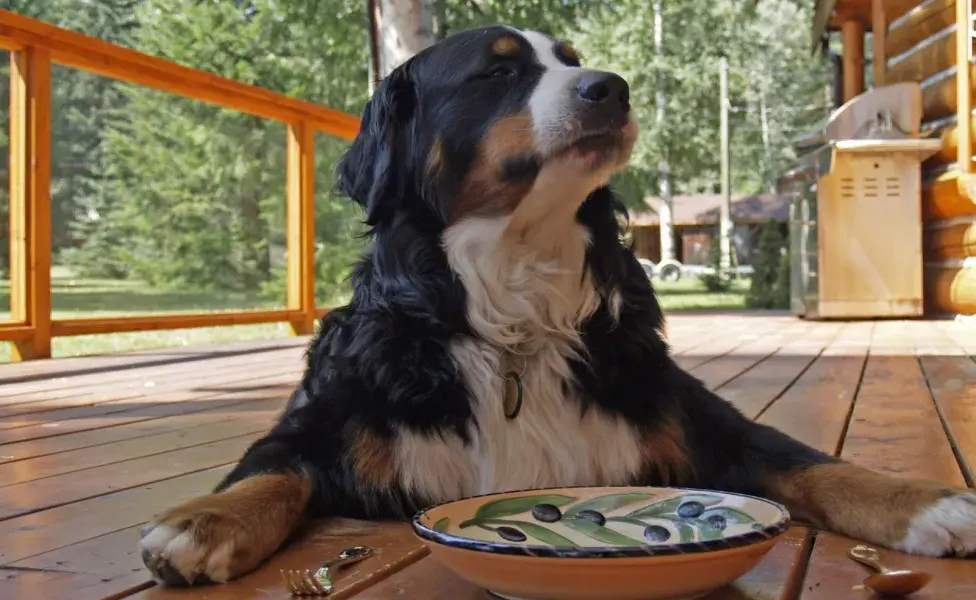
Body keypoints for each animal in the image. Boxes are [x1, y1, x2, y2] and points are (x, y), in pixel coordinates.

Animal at [139, 25, 976, 584]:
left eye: (572, 61)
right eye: (496, 72)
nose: (613, 87)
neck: (514, 301)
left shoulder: (693, 415)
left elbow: (813, 464)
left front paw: (928, 504)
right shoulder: (327, 418)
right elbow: (270, 473)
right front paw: (201, 522)